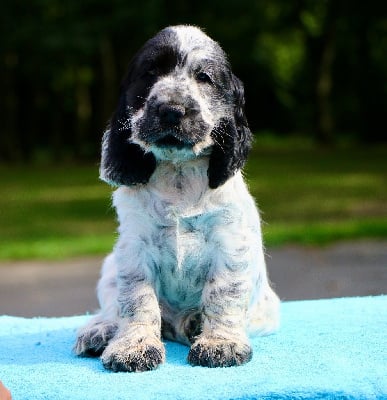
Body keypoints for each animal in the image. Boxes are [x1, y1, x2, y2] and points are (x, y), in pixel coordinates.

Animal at [74, 25, 280, 372]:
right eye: (151, 72)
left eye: (204, 78)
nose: (171, 110)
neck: (178, 173)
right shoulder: (134, 248)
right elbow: (136, 300)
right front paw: (134, 347)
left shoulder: (230, 242)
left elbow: (223, 294)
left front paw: (220, 344)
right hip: (109, 268)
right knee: (112, 307)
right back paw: (100, 330)